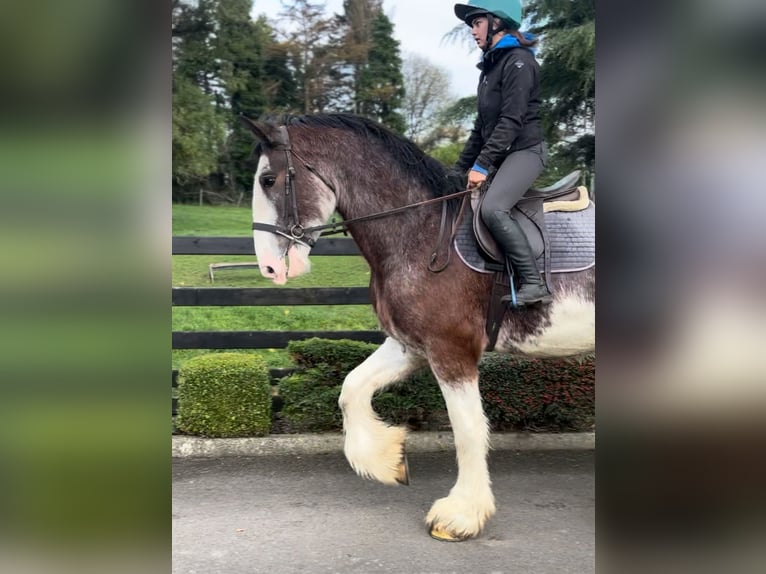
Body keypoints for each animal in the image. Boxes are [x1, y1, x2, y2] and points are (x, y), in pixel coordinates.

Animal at [243, 113, 596, 544]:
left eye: (268, 180)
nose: (269, 268)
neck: (422, 231)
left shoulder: (450, 350)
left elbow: (468, 429)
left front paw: (461, 515)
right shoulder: (410, 345)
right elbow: (351, 389)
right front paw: (387, 460)